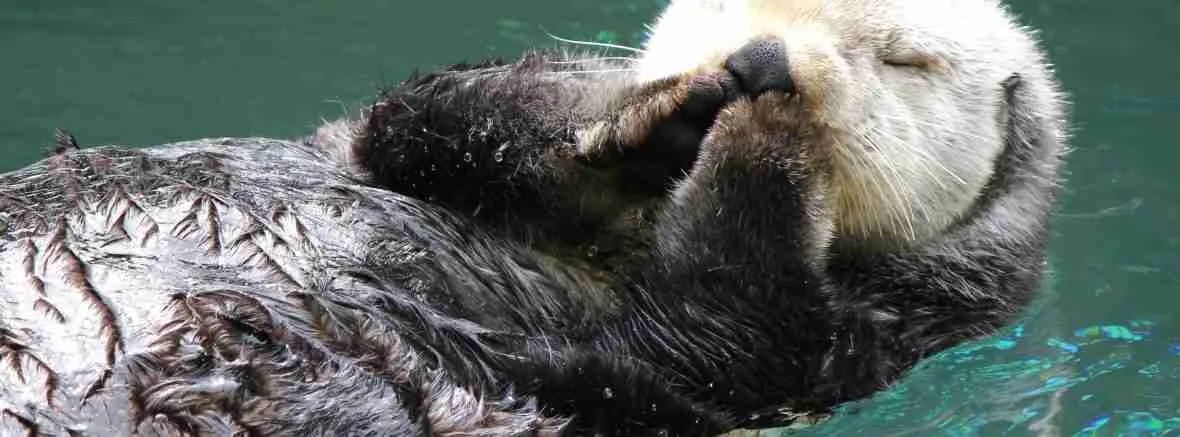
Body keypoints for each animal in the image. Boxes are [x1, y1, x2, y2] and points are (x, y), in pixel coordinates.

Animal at [0, 0, 1066, 435]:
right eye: (729, 3)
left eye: (905, 60)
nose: (763, 61)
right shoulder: (368, 141)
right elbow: (435, 116)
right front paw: (652, 114)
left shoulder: (864, 335)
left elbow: (734, 325)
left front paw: (769, 138)